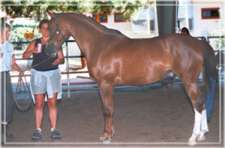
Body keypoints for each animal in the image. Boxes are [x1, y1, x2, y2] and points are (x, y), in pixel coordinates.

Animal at [48, 12, 218, 145]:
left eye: (56, 29)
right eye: (48, 29)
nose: (49, 51)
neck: (100, 44)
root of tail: (196, 42)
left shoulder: (105, 84)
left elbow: (107, 110)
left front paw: (106, 137)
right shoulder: (107, 86)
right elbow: (109, 108)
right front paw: (109, 133)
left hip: (189, 81)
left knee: (197, 104)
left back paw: (193, 137)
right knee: (202, 103)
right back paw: (202, 134)